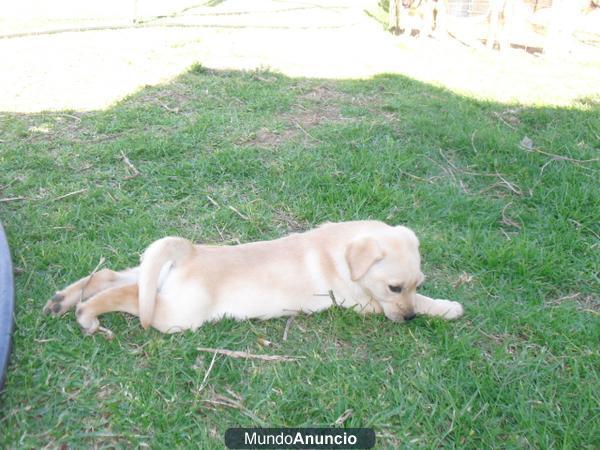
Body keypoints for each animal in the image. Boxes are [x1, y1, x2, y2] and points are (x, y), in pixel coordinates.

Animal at [44, 221, 464, 334]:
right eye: (395, 287)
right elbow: (417, 304)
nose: (408, 319)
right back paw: (86, 314)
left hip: (148, 273)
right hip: (175, 315)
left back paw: (63, 300)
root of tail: (188, 252)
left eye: (418, 280)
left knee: (110, 275)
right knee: (126, 296)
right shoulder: (362, 303)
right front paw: (447, 307)